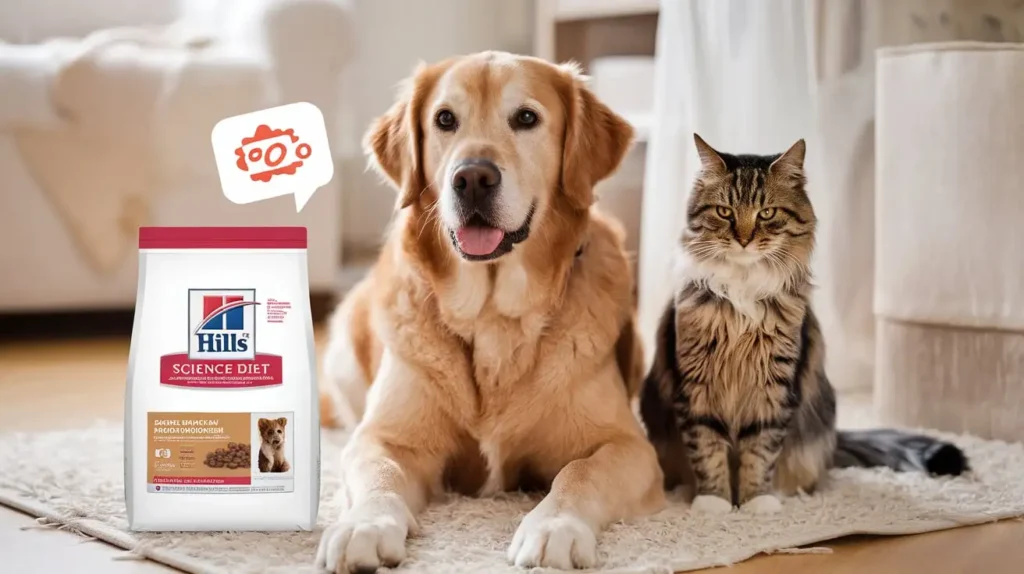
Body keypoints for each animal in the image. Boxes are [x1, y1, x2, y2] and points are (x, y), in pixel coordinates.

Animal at [317, 51, 663, 568]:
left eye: (526, 118)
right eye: (444, 119)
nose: (473, 178)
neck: (493, 319)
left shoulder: (629, 445)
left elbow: (580, 473)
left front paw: (554, 527)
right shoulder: (384, 437)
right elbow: (380, 473)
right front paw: (364, 526)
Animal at [638, 134, 966, 515]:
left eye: (767, 213)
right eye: (725, 212)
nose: (744, 239)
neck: (743, 292)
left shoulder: (774, 384)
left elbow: (760, 452)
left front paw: (755, 503)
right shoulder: (695, 385)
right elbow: (707, 449)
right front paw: (714, 504)